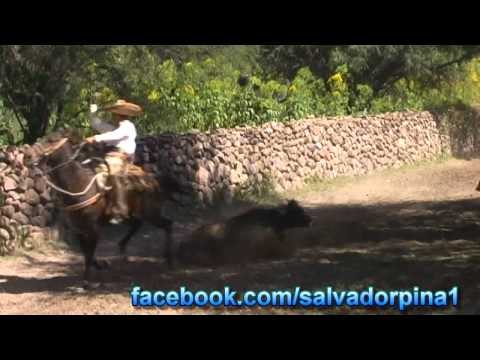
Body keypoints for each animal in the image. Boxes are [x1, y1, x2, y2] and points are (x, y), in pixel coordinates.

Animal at [23, 130, 186, 290]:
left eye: (50, 140)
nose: (27, 156)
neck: (79, 185)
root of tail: (153, 180)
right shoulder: (79, 230)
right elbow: (86, 253)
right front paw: (101, 265)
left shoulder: (94, 230)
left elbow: (89, 255)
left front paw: (87, 282)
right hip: (134, 214)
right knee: (138, 225)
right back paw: (123, 248)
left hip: (151, 213)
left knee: (168, 224)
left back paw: (169, 259)